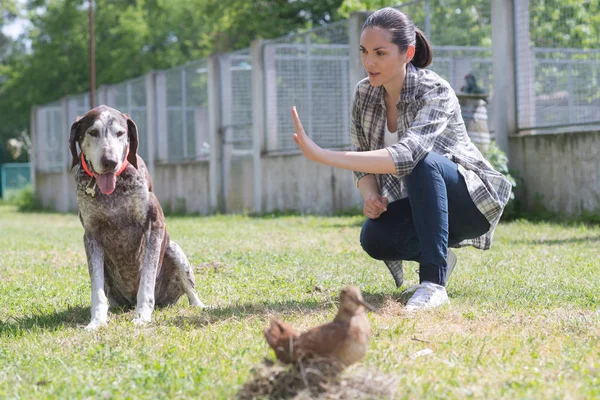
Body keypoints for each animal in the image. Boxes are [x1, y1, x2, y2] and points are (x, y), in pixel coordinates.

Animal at [69, 104, 205, 330]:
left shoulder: (155, 225)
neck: (113, 191)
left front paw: (142, 316)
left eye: (120, 133)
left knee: (191, 292)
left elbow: (147, 280)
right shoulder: (91, 235)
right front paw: (96, 321)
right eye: (93, 132)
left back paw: (200, 306)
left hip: (175, 252)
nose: (110, 161)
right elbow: (97, 290)